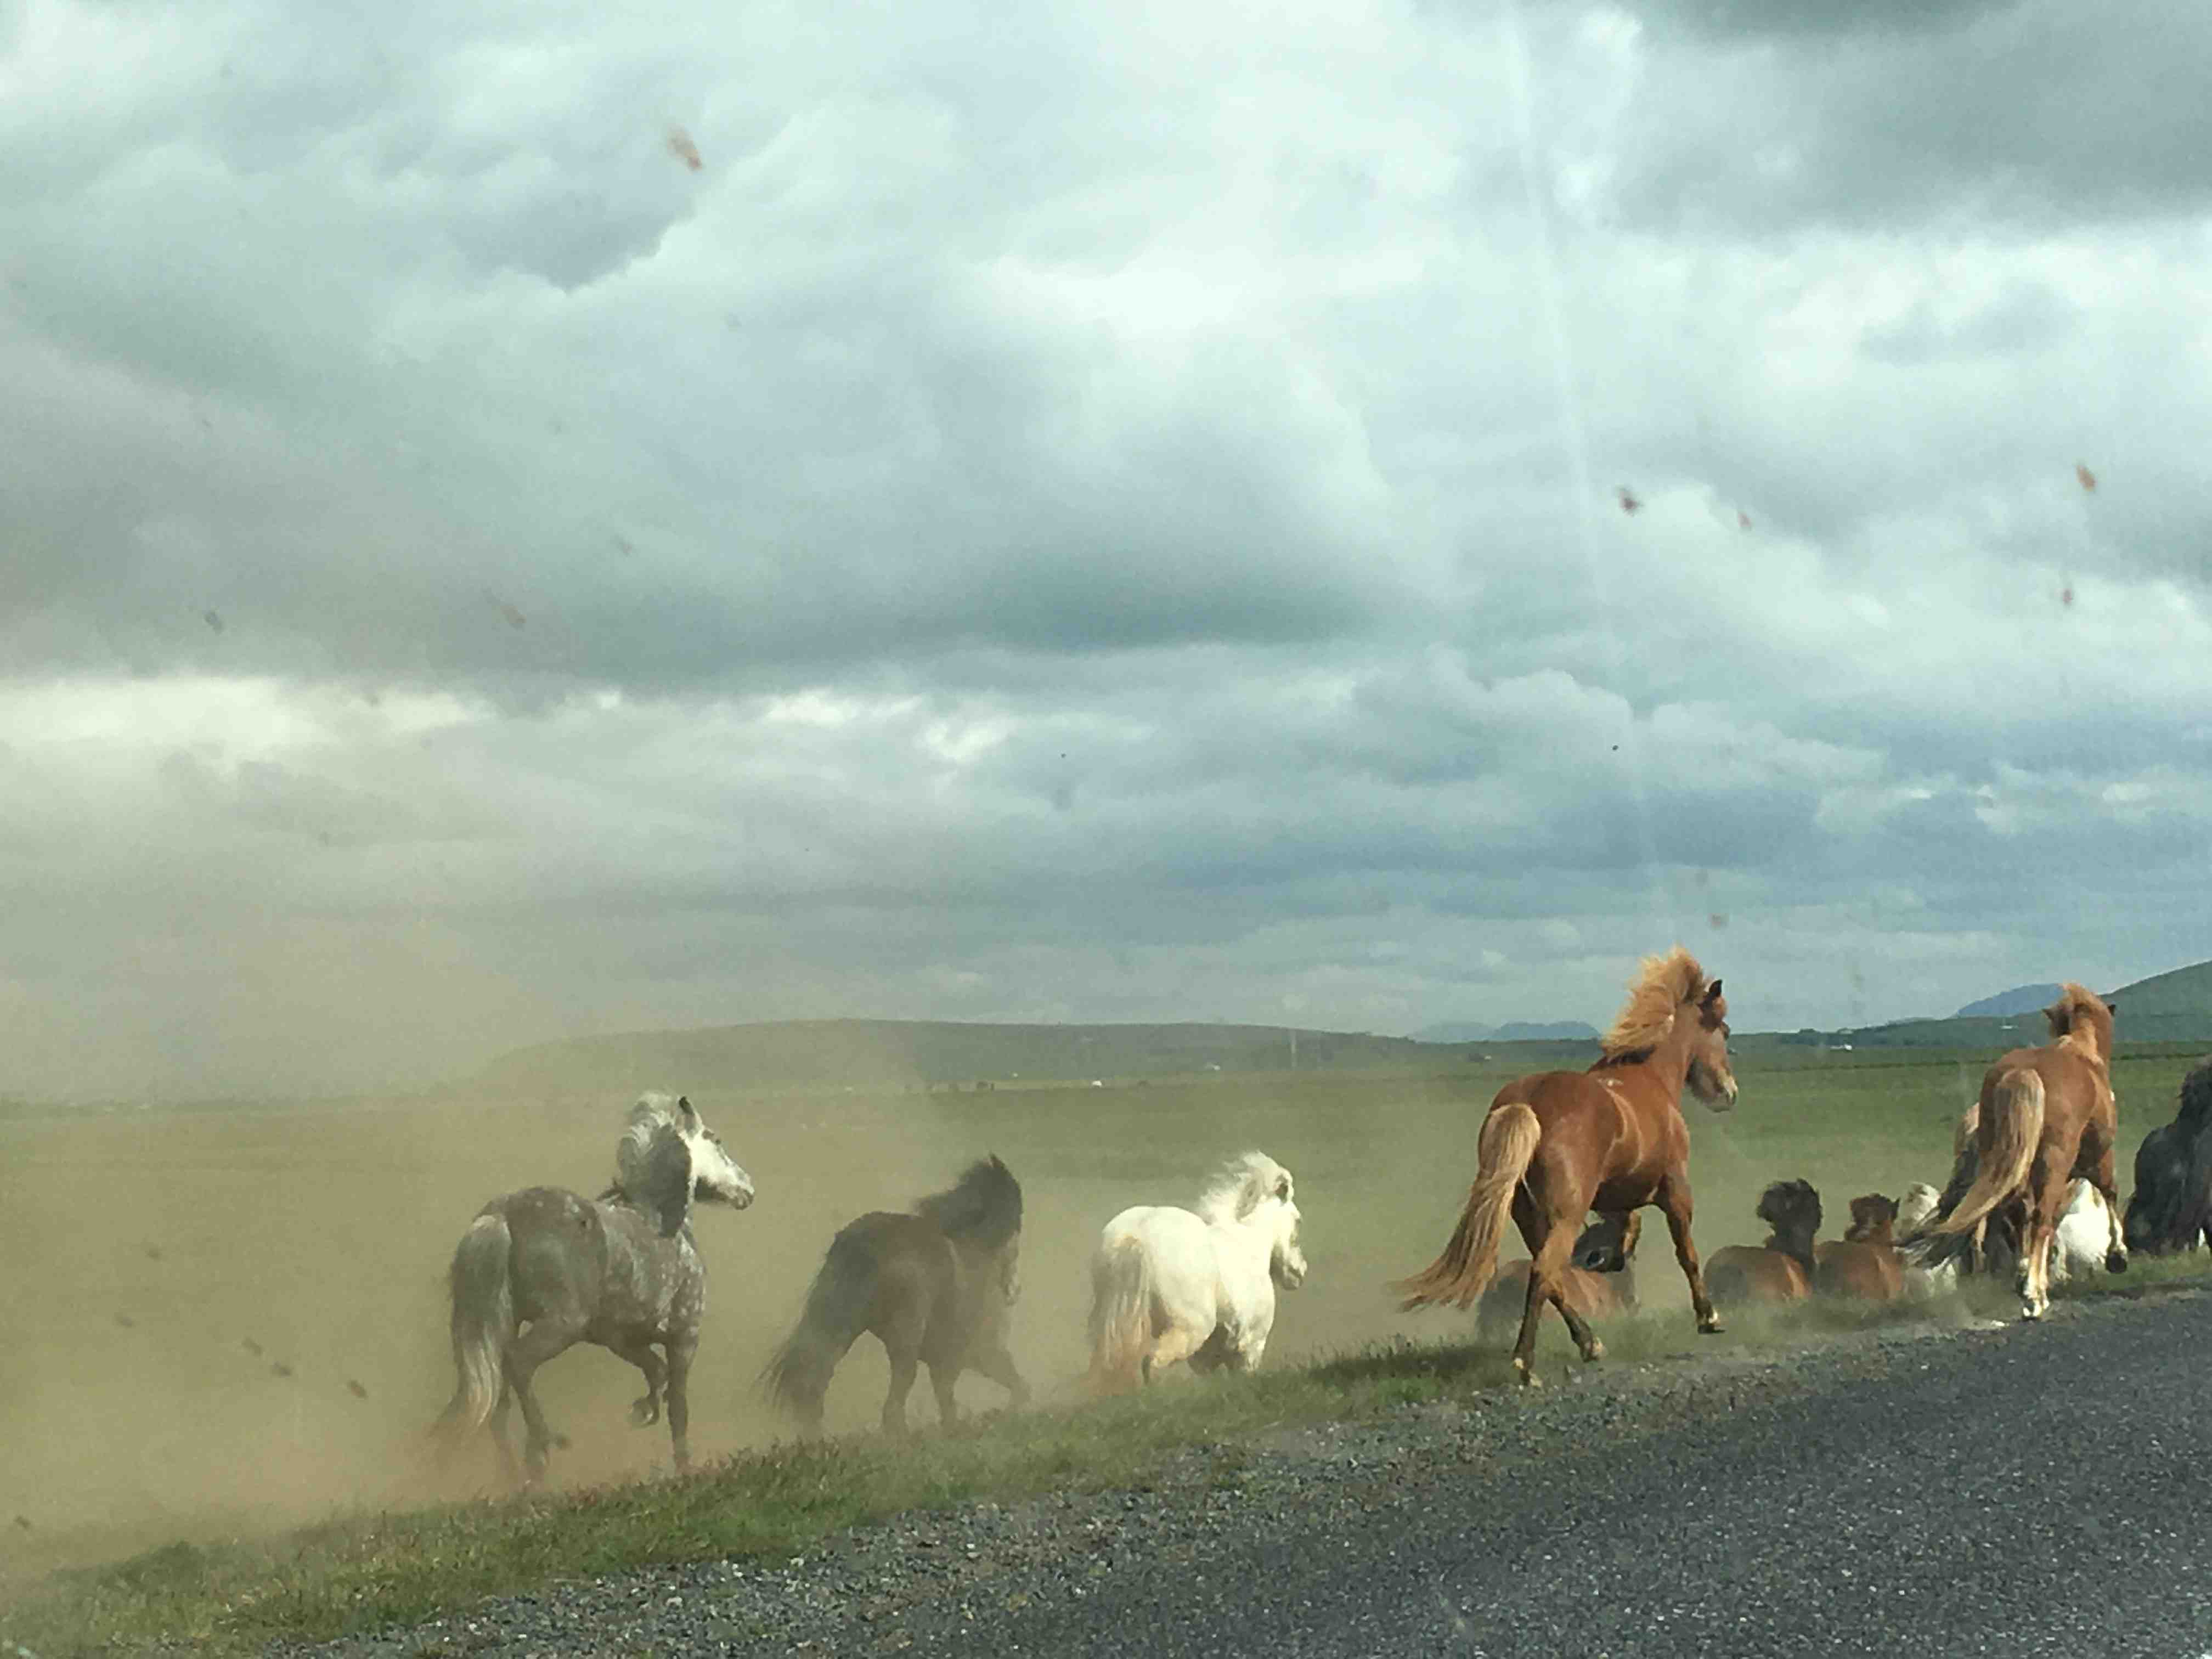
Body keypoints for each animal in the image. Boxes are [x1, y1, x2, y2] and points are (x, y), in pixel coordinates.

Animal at [435, 1092, 755, 1482]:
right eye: (716, 1140)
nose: (747, 1190)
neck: (660, 1219)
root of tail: (502, 1215)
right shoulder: (684, 1337)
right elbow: (678, 1408)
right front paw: (684, 1466)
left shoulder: (619, 1338)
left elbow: (654, 1371)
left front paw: (643, 1411)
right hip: (561, 1325)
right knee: (519, 1364)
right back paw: (542, 1446)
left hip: (503, 1326)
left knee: (498, 1400)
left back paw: (515, 1476)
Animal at [763, 1156, 1027, 1435]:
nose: (1015, 1292)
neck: (976, 1251)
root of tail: (863, 1244)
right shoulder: (975, 1353)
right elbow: (1013, 1389)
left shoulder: (955, 1359)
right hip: (905, 1331)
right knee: (896, 1392)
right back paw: (899, 1434)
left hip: (841, 1325)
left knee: (817, 1373)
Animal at [1087, 1151, 1307, 1391]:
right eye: (1298, 1221)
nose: (1300, 1273)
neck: (1250, 1244)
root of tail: (1137, 1237)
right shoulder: (1252, 1346)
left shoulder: (1207, 1355)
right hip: (1191, 1328)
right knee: (1151, 1362)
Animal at [1899, 983, 2126, 1319]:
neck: (2082, 1053)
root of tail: (2024, 1073)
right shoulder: (2097, 1159)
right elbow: (2108, 1193)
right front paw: (2118, 1255)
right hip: (2053, 1165)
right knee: (2040, 1217)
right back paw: (2034, 1297)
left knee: (2020, 1213)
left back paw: (2026, 1283)